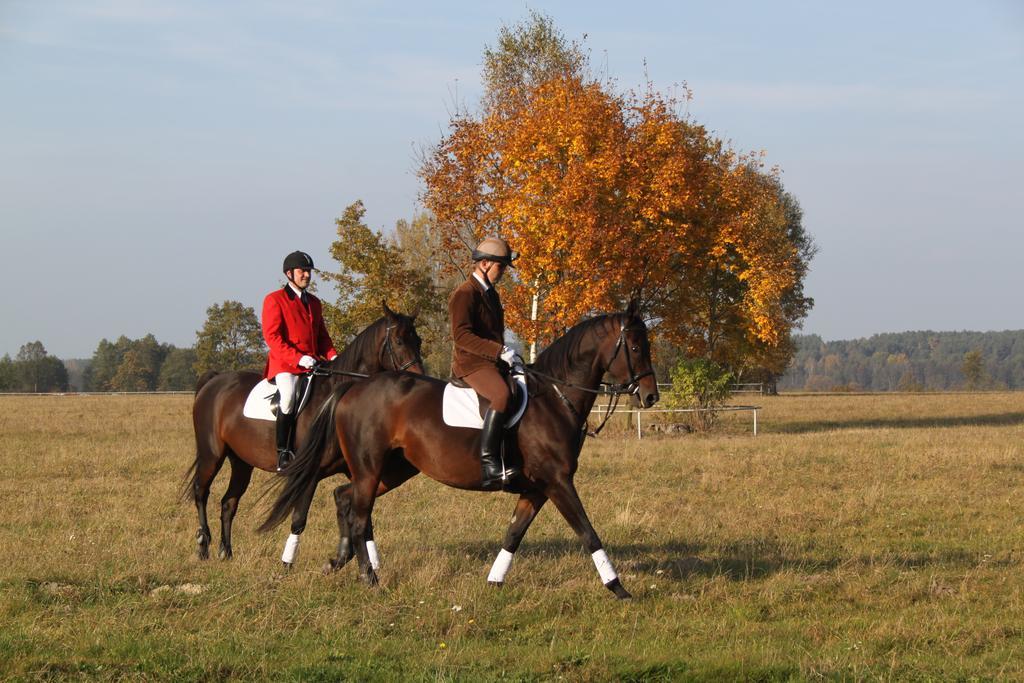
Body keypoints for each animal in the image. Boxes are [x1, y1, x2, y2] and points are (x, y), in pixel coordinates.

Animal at [186, 305, 421, 561]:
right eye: (399, 341)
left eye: (418, 341)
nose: (418, 380)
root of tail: (215, 381)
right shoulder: (310, 472)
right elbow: (299, 520)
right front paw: (288, 561)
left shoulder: (357, 471)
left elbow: (365, 518)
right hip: (211, 455)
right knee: (201, 492)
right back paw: (202, 544)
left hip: (241, 462)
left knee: (229, 502)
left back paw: (226, 552)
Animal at [262, 303, 655, 598]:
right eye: (636, 348)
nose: (651, 396)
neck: (554, 398)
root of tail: (353, 389)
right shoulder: (558, 482)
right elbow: (588, 532)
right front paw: (618, 588)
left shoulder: (537, 489)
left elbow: (514, 533)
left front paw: (494, 582)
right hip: (370, 468)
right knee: (358, 515)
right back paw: (369, 579)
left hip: (390, 470)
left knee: (345, 497)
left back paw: (341, 562)